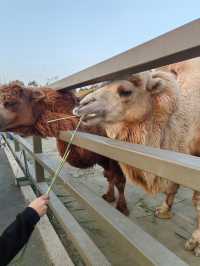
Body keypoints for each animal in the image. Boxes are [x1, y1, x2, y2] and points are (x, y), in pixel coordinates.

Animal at [0, 82, 128, 215]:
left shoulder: (116, 154)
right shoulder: (101, 157)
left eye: (11, 102)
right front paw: (109, 196)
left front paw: (122, 208)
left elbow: (119, 180)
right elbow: (109, 176)